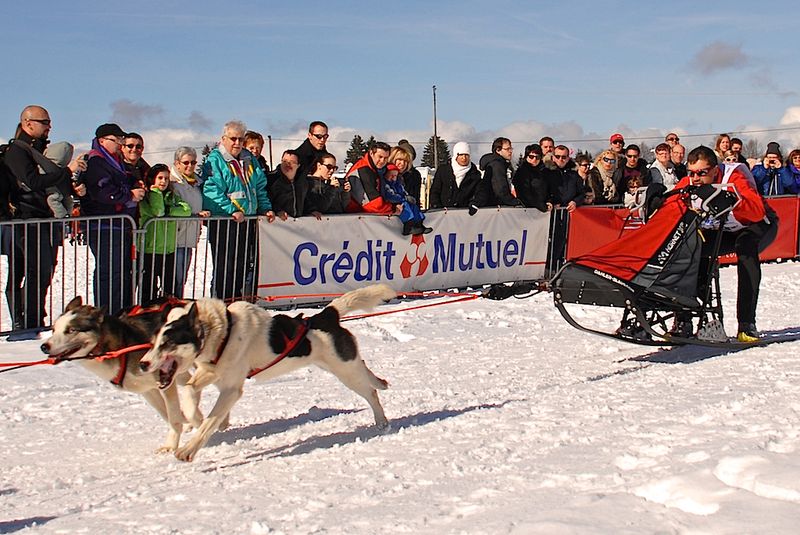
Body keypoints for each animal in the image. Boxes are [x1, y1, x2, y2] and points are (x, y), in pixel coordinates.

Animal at [142, 282, 398, 462]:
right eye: (154, 342)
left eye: (167, 343)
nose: (143, 364)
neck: (223, 332)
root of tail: (325, 315)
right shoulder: (212, 374)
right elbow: (190, 390)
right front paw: (195, 415)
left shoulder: (231, 389)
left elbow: (207, 423)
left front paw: (188, 448)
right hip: (342, 367)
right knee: (366, 372)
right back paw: (380, 384)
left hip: (346, 372)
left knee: (371, 392)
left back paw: (381, 419)